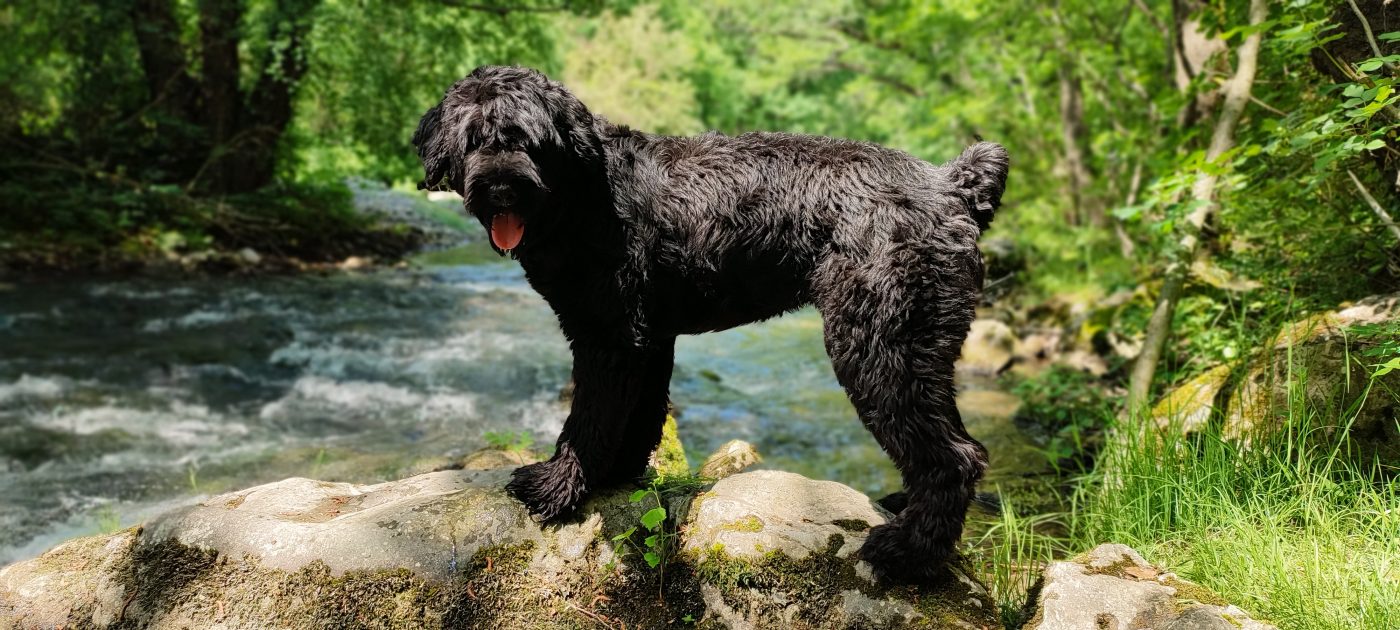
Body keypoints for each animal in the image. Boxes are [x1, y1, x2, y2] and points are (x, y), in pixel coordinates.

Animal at [411, 64, 1008, 579]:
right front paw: (617, 476)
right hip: (920, 348)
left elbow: (589, 420)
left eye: (527, 139)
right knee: (961, 445)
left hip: (880, 345)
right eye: (474, 138)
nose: (501, 187)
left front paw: (557, 487)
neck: (581, 192)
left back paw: (909, 553)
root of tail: (950, 185)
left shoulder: (609, 337)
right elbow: (637, 417)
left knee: (953, 457)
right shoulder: (646, 340)